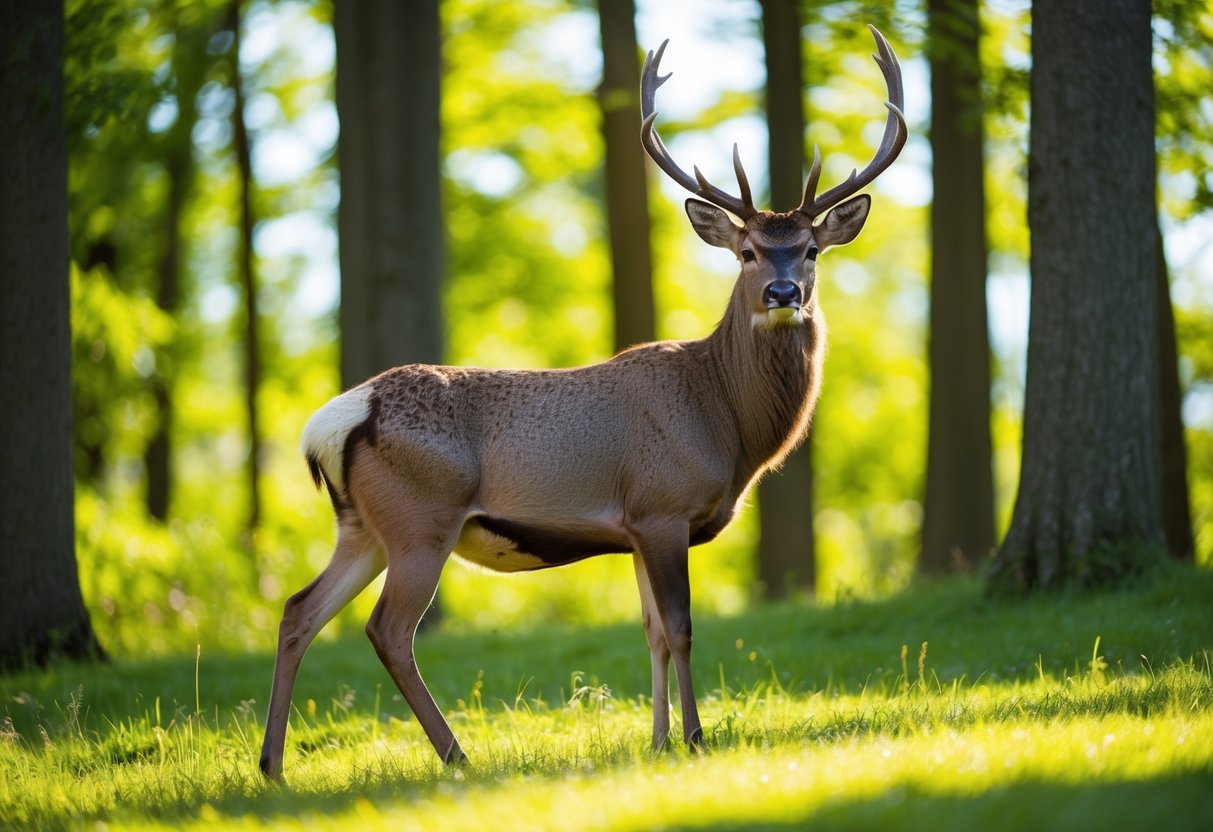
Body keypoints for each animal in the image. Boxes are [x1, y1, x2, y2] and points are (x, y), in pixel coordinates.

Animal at [259, 24, 905, 780]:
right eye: (746, 251)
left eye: (809, 250)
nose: (783, 293)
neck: (724, 420)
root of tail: (334, 420)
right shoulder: (661, 506)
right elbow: (681, 627)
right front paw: (694, 738)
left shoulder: (633, 527)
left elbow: (651, 632)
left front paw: (656, 740)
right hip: (421, 519)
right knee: (387, 630)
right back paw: (456, 755)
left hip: (361, 525)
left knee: (298, 610)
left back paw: (272, 765)